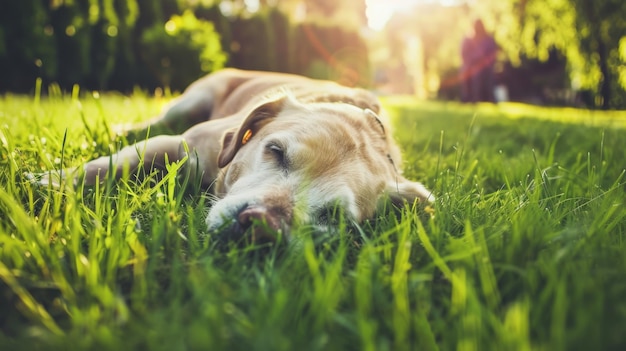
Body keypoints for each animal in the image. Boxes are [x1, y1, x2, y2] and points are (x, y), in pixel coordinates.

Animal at [36, 70, 432, 243]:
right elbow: (111, 164)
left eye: (333, 216)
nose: (260, 225)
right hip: (188, 103)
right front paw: (53, 181)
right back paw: (120, 128)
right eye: (275, 151)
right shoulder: (179, 144)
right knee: (151, 122)